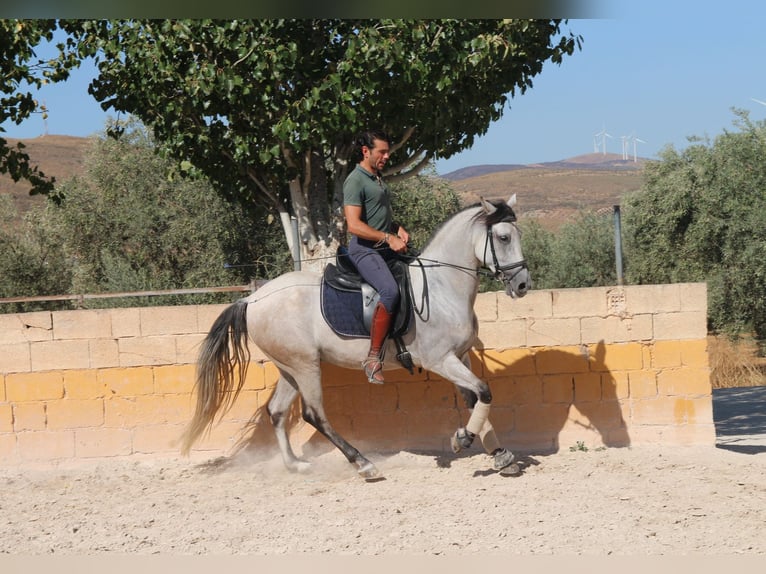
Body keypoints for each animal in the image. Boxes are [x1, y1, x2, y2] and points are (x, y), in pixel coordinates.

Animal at [180, 195, 530, 480]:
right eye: (503, 237)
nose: (523, 285)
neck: (442, 286)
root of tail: (251, 299)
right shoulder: (440, 360)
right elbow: (484, 391)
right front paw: (463, 440)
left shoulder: (460, 356)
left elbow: (475, 399)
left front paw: (500, 455)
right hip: (305, 366)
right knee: (314, 414)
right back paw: (363, 463)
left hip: (289, 367)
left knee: (277, 412)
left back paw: (296, 465)